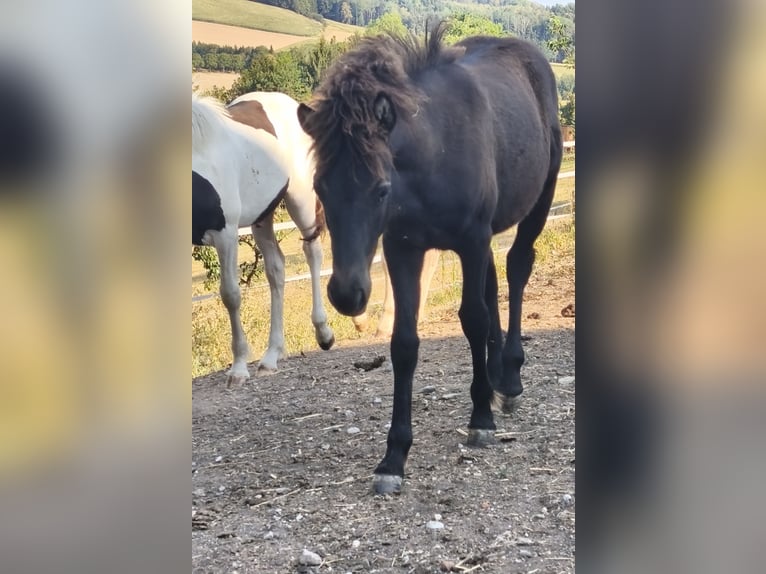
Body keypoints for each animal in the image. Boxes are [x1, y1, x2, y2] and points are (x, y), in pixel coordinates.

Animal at [192, 91, 336, 384]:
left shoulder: (226, 233)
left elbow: (230, 294)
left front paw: (238, 367)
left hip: (301, 202)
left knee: (313, 253)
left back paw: (323, 332)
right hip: (262, 218)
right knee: (276, 269)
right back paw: (271, 356)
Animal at [298, 24, 562, 493]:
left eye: (381, 189)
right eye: (320, 187)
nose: (347, 295)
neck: (434, 155)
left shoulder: (471, 240)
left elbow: (473, 318)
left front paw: (481, 420)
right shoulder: (403, 249)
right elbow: (404, 343)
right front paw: (393, 457)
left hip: (538, 201)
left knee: (516, 268)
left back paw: (510, 378)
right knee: (494, 283)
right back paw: (496, 373)